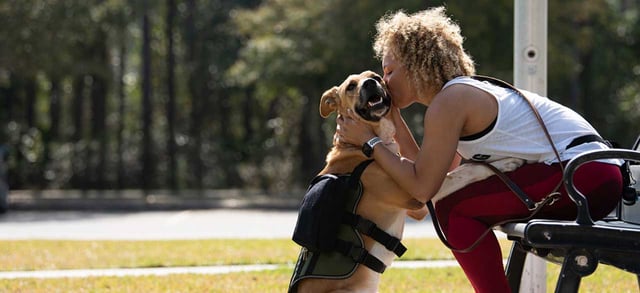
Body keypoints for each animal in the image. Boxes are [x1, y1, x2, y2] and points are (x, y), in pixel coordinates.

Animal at [296, 69, 524, 290]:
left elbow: (461, 170)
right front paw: (505, 163)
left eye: (375, 77)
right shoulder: (417, 195)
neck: (362, 148)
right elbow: (462, 172)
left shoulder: (418, 206)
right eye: (351, 86)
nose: (370, 83)